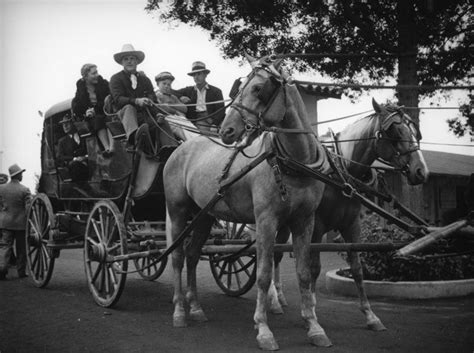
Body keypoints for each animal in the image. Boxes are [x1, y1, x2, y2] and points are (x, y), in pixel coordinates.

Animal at [165, 56, 332, 348]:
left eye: (258, 88)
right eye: (239, 88)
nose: (227, 130)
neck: (292, 164)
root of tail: (180, 148)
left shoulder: (304, 221)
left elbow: (303, 272)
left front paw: (314, 327)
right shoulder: (265, 220)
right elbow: (263, 275)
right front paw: (263, 329)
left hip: (204, 215)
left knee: (193, 255)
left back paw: (195, 308)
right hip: (177, 212)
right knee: (177, 256)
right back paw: (179, 312)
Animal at [270, 98, 430, 332]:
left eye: (416, 133)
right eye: (394, 132)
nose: (421, 172)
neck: (341, 171)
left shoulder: (352, 225)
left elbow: (357, 268)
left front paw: (370, 315)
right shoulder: (317, 226)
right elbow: (314, 267)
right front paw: (312, 309)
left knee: (276, 254)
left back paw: (279, 297)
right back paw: (274, 298)